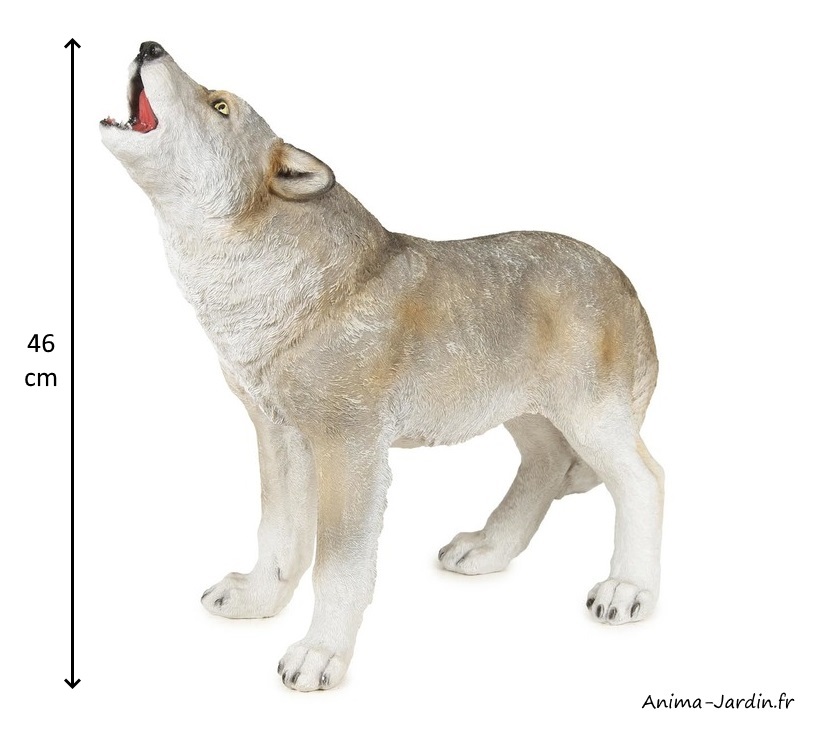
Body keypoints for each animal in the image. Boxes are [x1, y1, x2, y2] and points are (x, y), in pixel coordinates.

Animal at [101, 41, 664, 691]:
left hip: (590, 420)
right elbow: (278, 537)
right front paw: (258, 603)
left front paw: (319, 655)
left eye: (219, 105)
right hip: (527, 415)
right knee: (545, 468)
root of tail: (623, 280)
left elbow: (338, 566)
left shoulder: (351, 450)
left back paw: (628, 590)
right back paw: (487, 550)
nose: (149, 46)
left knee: (646, 481)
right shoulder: (279, 436)